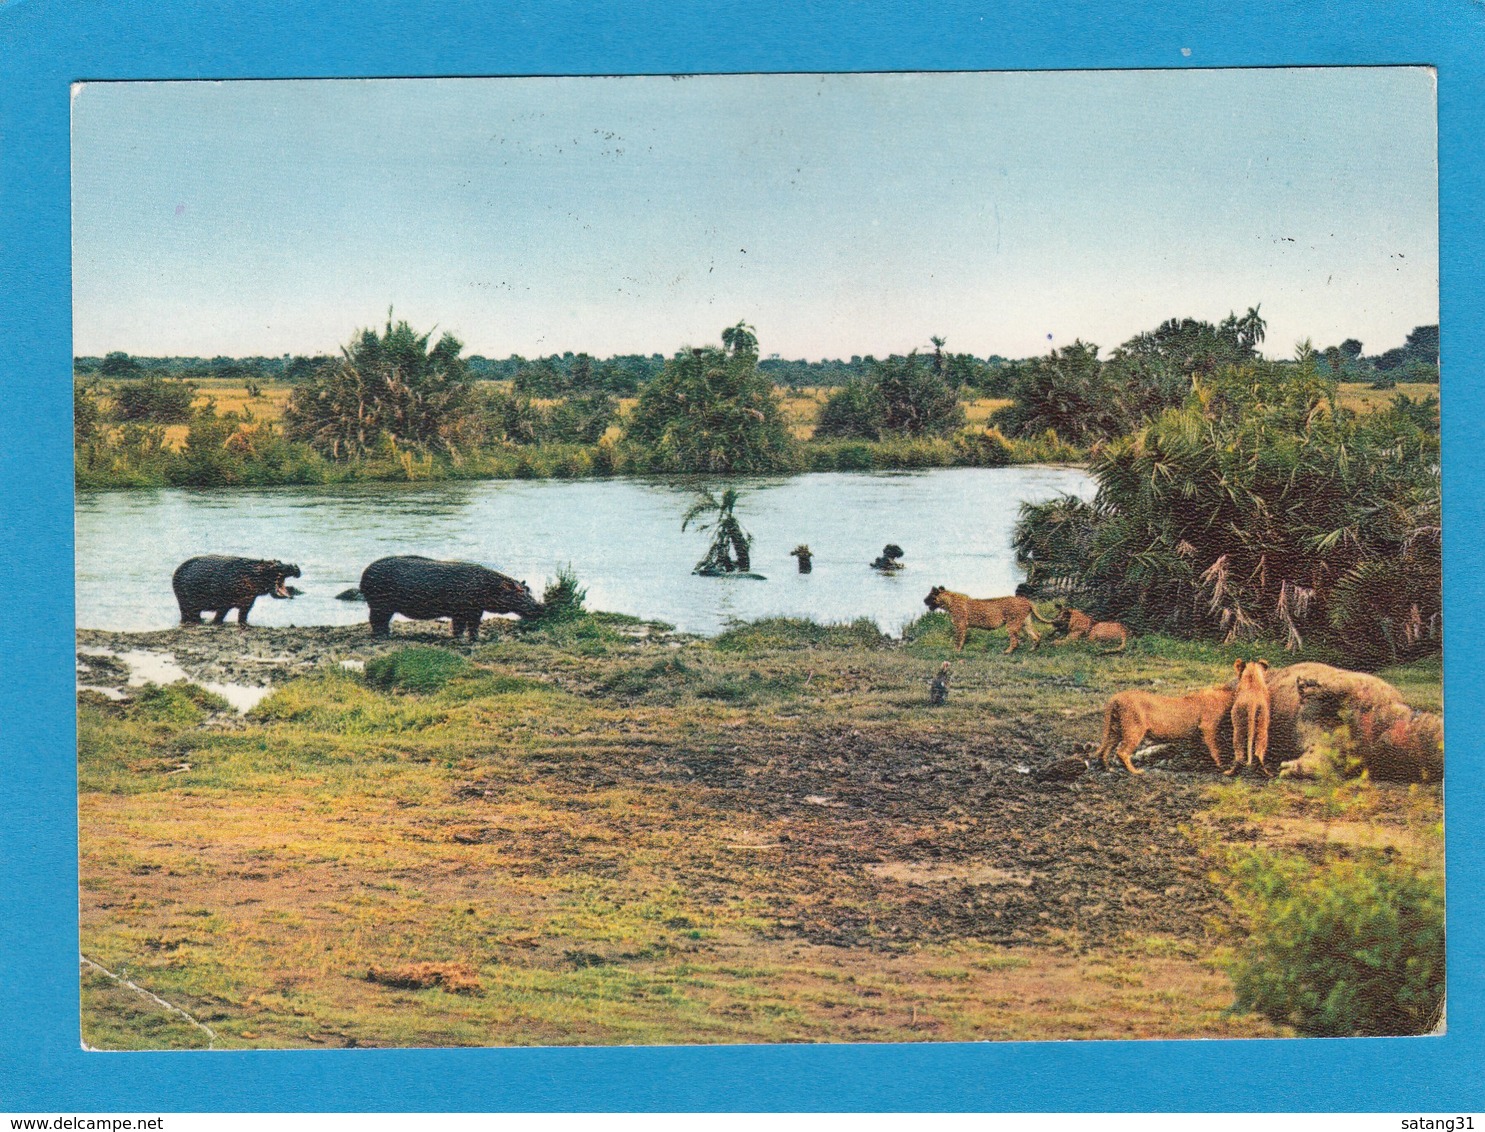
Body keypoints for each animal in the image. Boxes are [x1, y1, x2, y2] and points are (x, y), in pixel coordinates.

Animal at [170, 552, 301, 626]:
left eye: (279, 560)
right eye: (274, 564)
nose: (293, 566)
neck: (252, 573)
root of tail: (177, 569)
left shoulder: (247, 603)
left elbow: (243, 616)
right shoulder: (223, 604)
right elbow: (219, 616)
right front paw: (215, 623)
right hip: (185, 603)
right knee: (188, 614)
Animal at [359, 552, 546, 638]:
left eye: (527, 589)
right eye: (518, 592)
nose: (540, 606)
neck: (490, 586)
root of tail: (365, 572)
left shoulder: (476, 610)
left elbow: (474, 625)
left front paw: (475, 638)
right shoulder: (460, 611)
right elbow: (459, 626)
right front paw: (459, 638)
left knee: (380, 621)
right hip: (380, 606)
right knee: (376, 621)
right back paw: (383, 635)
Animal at [914, 582, 1057, 653]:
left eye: (931, 596)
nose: (924, 601)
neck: (948, 602)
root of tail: (1027, 600)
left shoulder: (960, 625)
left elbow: (958, 639)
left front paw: (956, 651)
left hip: (1012, 624)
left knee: (1015, 641)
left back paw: (1007, 652)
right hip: (1025, 623)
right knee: (1036, 635)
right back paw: (1033, 649)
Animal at [1087, 683, 1235, 772]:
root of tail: (1116, 696)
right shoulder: (1208, 728)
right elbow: (1215, 749)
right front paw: (1222, 766)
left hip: (1116, 729)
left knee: (1107, 749)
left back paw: (1109, 769)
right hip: (1134, 729)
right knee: (1122, 752)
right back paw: (1136, 771)